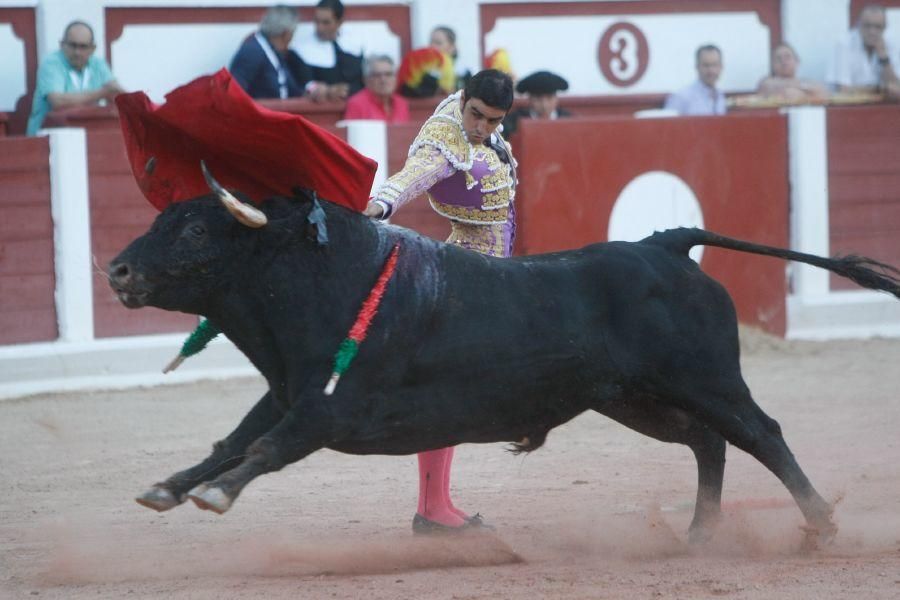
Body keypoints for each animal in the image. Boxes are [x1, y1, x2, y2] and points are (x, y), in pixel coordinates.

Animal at [107, 172, 900, 544]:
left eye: (195, 232)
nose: (117, 270)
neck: (326, 277)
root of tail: (664, 244)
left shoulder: (330, 411)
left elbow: (264, 449)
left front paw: (215, 495)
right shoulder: (286, 393)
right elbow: (231, 441)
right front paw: (168, 488)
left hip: (706, 380)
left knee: (761, 432)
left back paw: (819, 525)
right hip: (637, 399)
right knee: (710, 444)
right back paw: (699, 535)